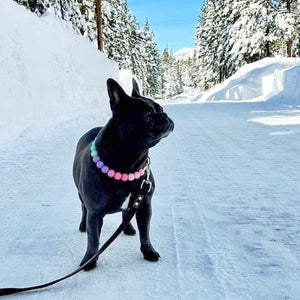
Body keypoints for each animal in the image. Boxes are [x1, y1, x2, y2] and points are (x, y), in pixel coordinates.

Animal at [72, 78, 173, 270]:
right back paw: (82, 225)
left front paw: (148, 251)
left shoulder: (144, 205)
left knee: (126, 213)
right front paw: (89, 259)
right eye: (147, 114)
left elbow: (145, 233)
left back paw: (127, 228)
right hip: (81, 196)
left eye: (161, 108)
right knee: (83, 209)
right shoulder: (94, 212)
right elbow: (93, 239)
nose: (164, 115)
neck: (128, 165)